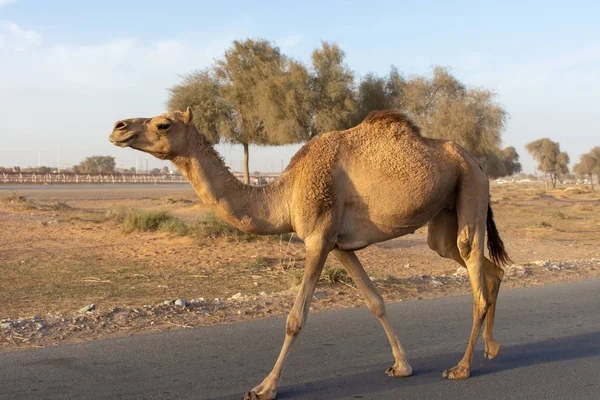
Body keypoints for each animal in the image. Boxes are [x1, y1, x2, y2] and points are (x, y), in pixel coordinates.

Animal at [109, 108, 510, 400]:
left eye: (162, 123)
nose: (118, 127)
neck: (284, 194)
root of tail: (475, 161)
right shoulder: (339, 244)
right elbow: (375, 301)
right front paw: (401, 366)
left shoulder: (317, 238)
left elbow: (295, 318)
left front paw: (264, 388)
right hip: (444, 217)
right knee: (488, 269)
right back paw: (491, 348)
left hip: (471, 188)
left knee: (475, 273)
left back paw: (461, 367)